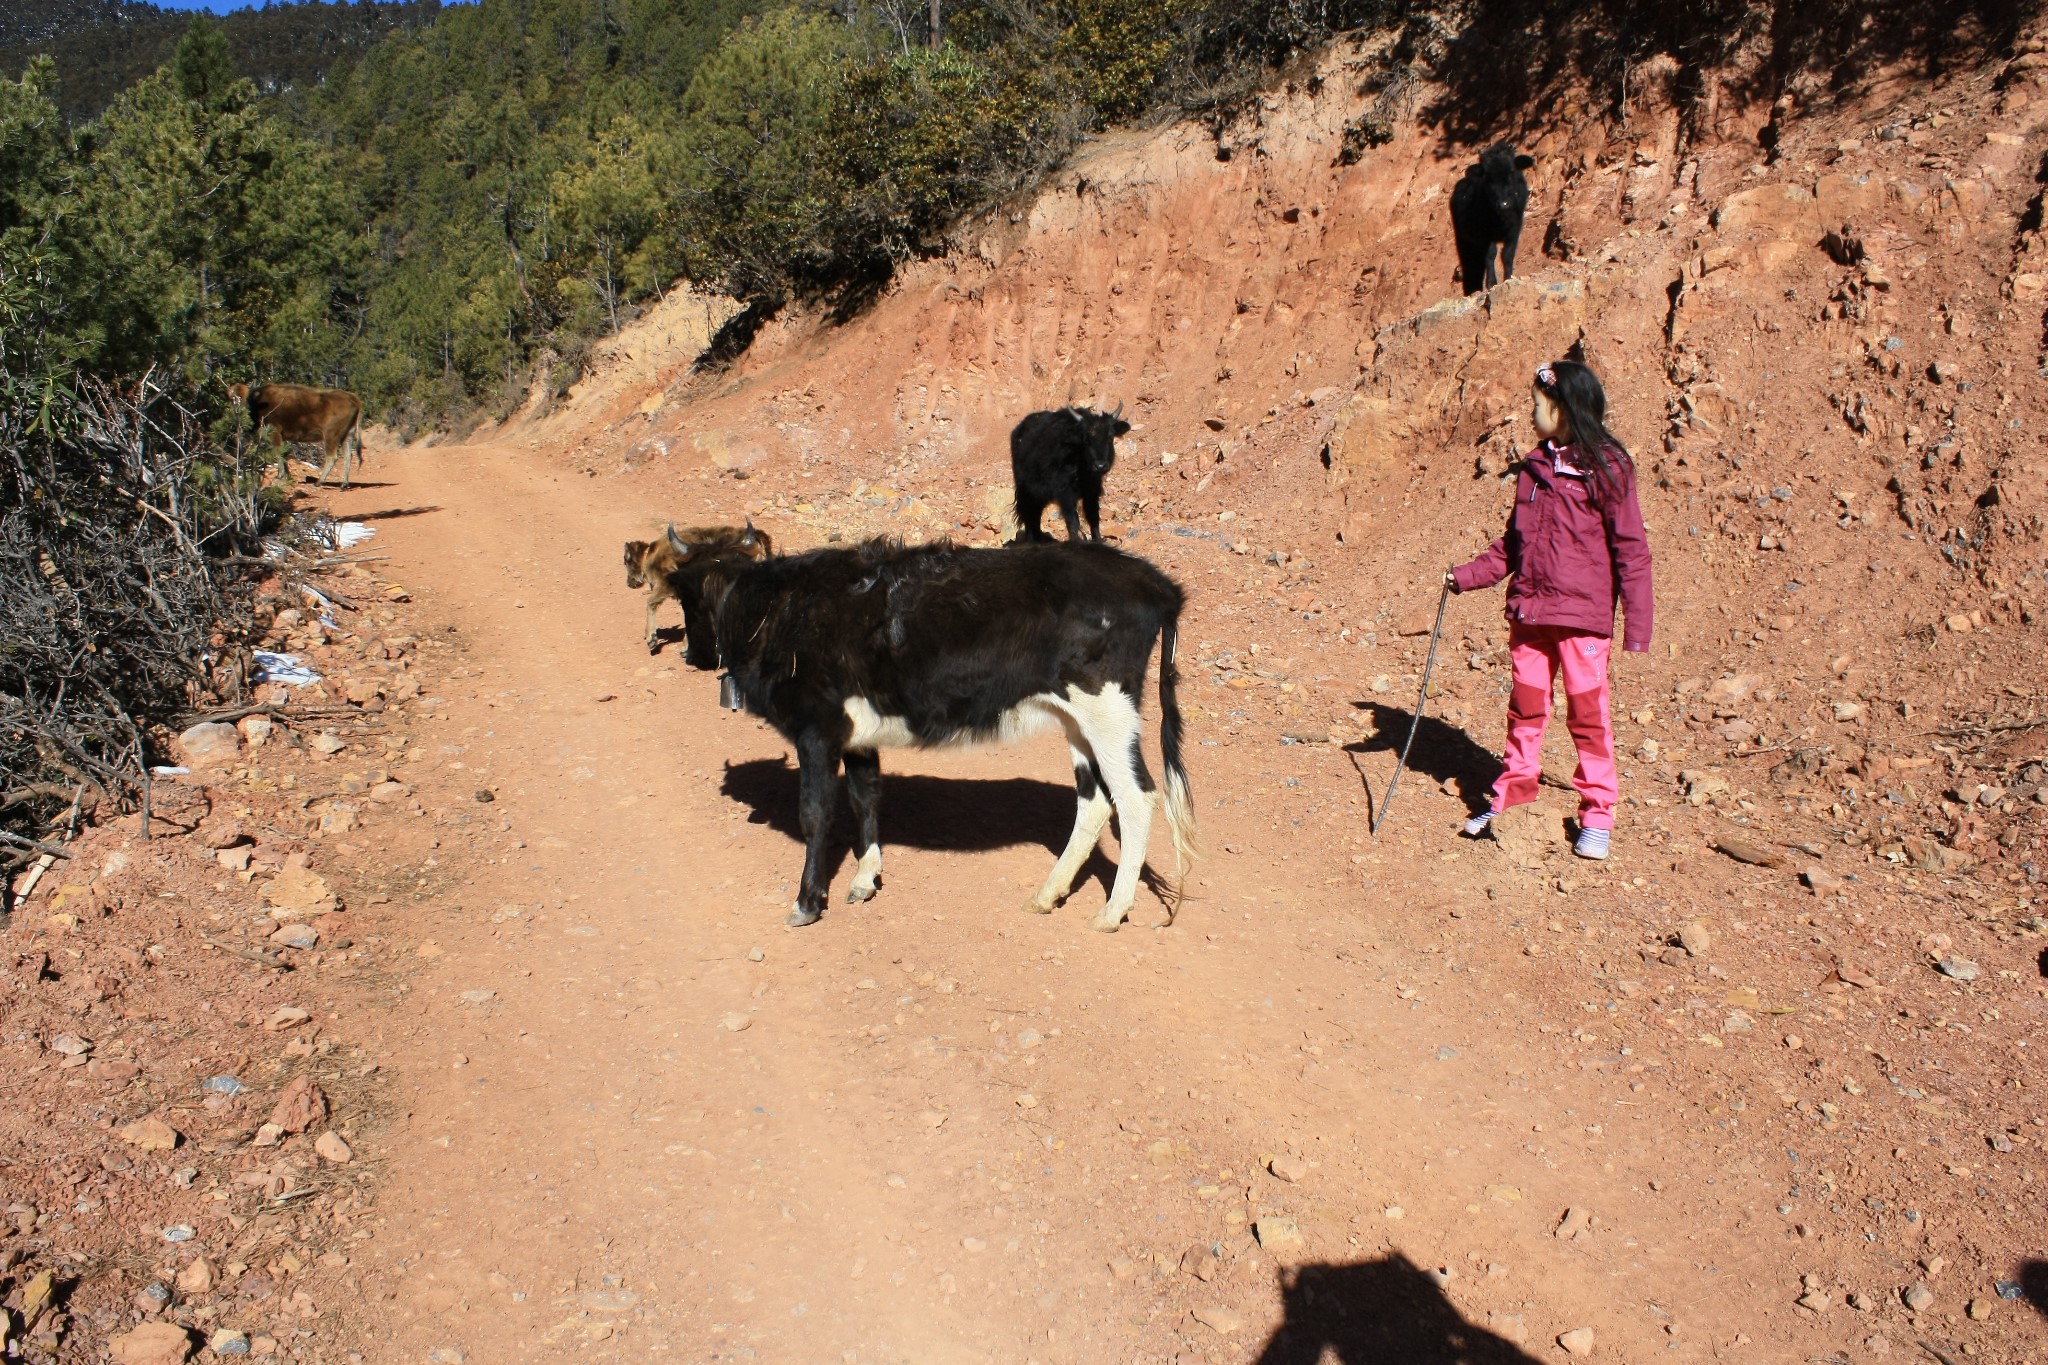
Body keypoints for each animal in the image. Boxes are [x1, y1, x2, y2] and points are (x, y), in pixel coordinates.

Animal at [230, 382, 366, 489]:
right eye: (232, 399)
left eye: (246, 398)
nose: (242, 412)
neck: (261, 402)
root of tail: (351, 397)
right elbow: (283, 455)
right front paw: (287, 476)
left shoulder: (275, 434)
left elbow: (279, 453)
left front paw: (280, 476)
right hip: (347, 435)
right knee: (348, 456)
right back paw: (344, 484)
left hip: (331, 436)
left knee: (332, 457)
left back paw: (318, 482)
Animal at [618, 519, 770, 658]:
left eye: (626, 561)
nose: (629, 583)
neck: (651, 554)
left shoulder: (665, 585)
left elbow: (651, 602)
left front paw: (652, 639)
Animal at [1011, 403, 1130, 540]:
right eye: (1086, 440)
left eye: (1110, 437)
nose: (1100, 466)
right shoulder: (1066, 494)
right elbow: (1073, 521)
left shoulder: (1092, 493)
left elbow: (1093, 518)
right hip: (1026, 490)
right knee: (1030, 515)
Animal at [1449, 143, 1531, 294]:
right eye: (1488, 177)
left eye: (1511, 171)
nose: (1504, 204)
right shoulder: (1484, 233)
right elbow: (1491, 254)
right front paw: (1492, 283)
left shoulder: (1515, 229)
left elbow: (1508, 255)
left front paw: (1508, 277)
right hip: (1464, 241)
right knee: (1471, 267)